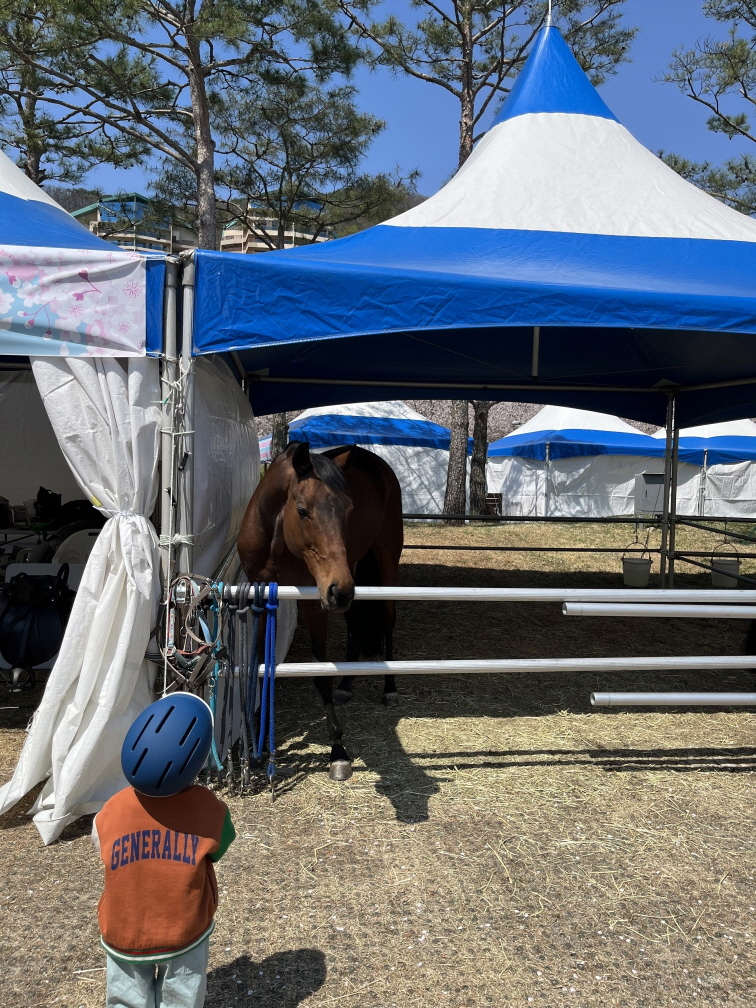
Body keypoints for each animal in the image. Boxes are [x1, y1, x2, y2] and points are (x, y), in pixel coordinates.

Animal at [237, 441, 404, 781]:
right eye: (302, 511)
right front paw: (258, 739)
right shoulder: (263, 595)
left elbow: (320, 671)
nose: (339, 590)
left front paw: (338, 751)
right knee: (354, 620)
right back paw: (346, 686)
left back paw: (389, 688)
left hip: (384, 560)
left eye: (348, 510)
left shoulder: (314, 602)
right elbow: (260, 663)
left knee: (387, 619)